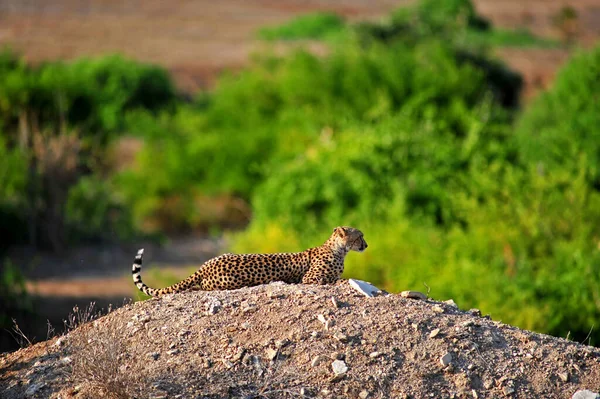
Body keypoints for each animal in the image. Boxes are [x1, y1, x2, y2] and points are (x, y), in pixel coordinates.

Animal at [131, 225, 366, 296]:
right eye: (360, 236)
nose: (366, 245)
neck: (339, 249)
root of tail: (206, 264)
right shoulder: (310, 279)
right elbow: (331, 280)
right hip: (228, 281)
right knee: (203, 286)